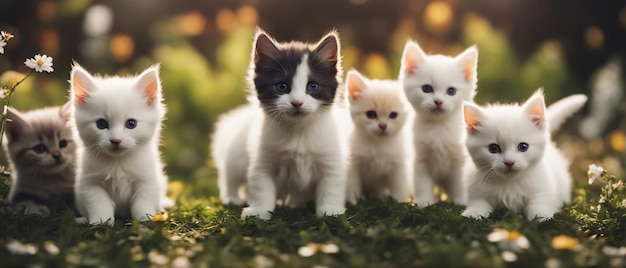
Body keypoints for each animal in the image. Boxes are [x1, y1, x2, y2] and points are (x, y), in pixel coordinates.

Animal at [70, 63, 172, 225]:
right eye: (101, 124)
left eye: (131, 123)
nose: (116, 140)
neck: (117, 163)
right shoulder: (90, 183)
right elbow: (99, 202)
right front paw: (101, 221)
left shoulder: (146, 180)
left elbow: (143, 201)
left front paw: (145, 218)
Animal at [211, 28, 346, 220]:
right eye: (282, 86)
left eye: (313, 86)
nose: (297, 103)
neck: (298, 132)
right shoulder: (262, 160)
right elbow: (261, 188)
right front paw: (259, 212)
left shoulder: (330, 158)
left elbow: (331, 186)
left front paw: (330, 211)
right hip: (235, 154)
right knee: (229, 176)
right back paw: (231, 197)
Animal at [344, 69, 412, 203]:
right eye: (371, 114)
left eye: (393, 115)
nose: (383, 125)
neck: (378, 145)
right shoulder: (353, 164)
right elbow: (353, 186)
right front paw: (353, 203)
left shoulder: (398, 166)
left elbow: (399, 189)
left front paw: (400, 203)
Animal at [400, 40, 478, 206]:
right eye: (426, 88)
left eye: (451, 91)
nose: (438, 101)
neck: (439, 128)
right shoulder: (420, 161)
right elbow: (422, 183)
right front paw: (425, 202)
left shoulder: (459, 161)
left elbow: (460, 183)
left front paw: (462, 201)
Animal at [458, 89, 584, 221]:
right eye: (493, 148)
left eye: (523, 146)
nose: (509, 162)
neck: (509, 183)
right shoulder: (477, 190)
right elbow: (479, 202)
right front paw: (473, 213)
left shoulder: (542, 188)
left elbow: (538, 203)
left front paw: (541, 217)